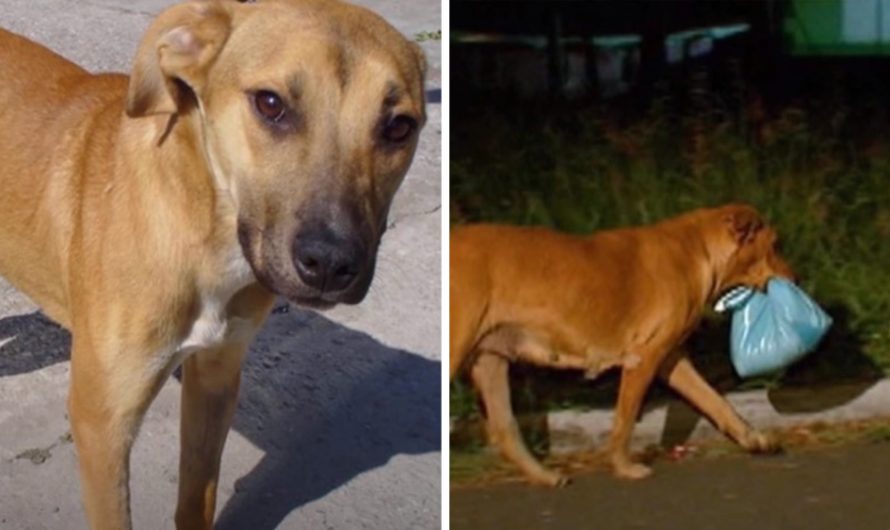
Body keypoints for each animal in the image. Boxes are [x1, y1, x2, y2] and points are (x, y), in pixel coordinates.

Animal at [0, 2, 426, 524]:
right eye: (270, 103)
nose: (329, 263)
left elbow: (197, 497)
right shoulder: (102, 424)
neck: (206, 240)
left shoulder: (216, 378)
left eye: (400, 127)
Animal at [450, 204, 792, 484]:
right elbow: (625, 419)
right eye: (775, 245)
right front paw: (624, 467)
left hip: (490, 362)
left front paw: (754, 440)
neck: (701, 252)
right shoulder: (645, 358)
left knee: (504, 430)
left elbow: (717, 402)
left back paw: (546, 477)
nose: (796, 278)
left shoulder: (671, 359)